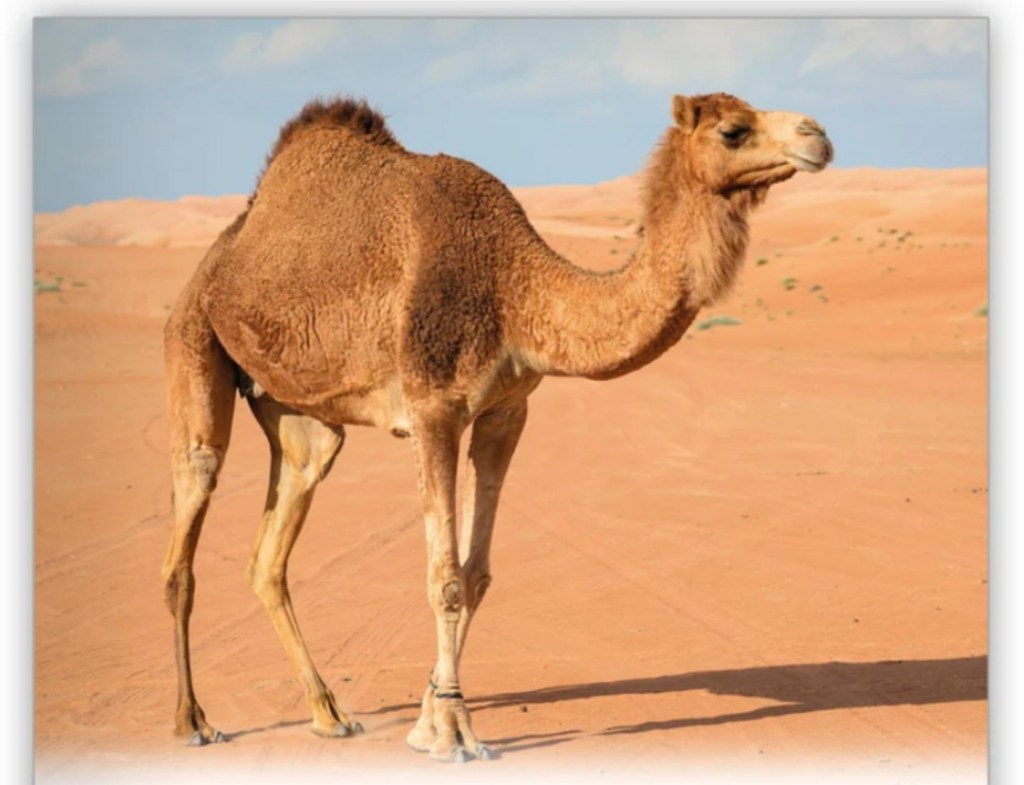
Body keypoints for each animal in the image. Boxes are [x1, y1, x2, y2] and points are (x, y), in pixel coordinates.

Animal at [162, 92, 832, 762]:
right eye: (733, 130)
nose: (818, 136)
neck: (513, 287)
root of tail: (218, 255)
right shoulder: (433, 408)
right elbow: (445, 580)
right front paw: (455, 733)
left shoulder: (506, 412)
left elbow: (476, 574)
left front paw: (429, 719)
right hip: (193, 338)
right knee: (193, 501)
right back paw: (193, 719)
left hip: (300, 415)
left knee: (274, 543)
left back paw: (330, 714)